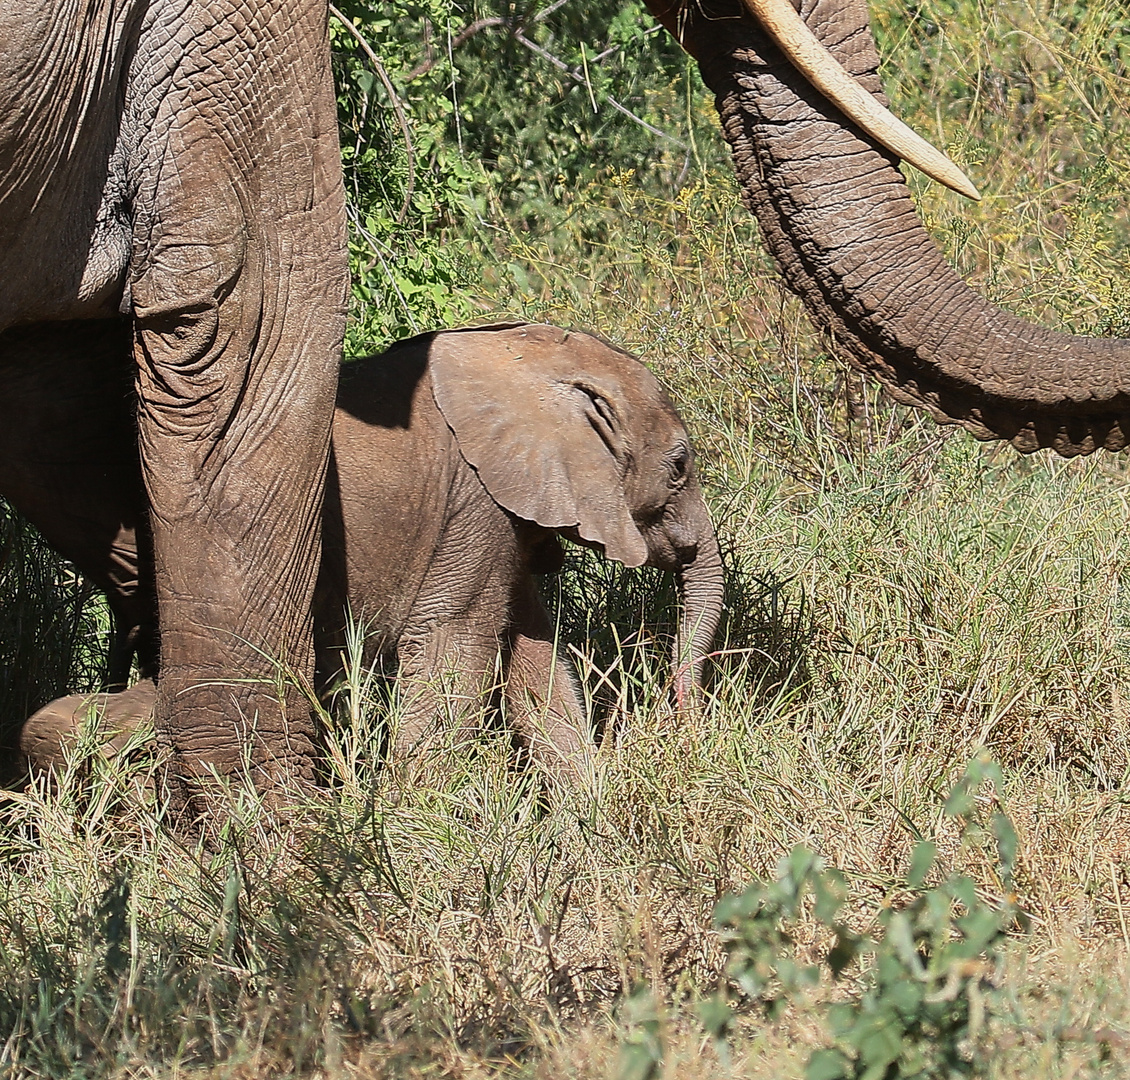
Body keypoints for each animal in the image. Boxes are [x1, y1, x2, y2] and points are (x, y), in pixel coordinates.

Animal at [15, 325, 723, 781]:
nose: (682, 720)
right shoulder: (474, 501)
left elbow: (532, 658)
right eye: (680, 467)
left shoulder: (501, 512)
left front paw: (583, 822)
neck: (532, 357)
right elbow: (452, 655)